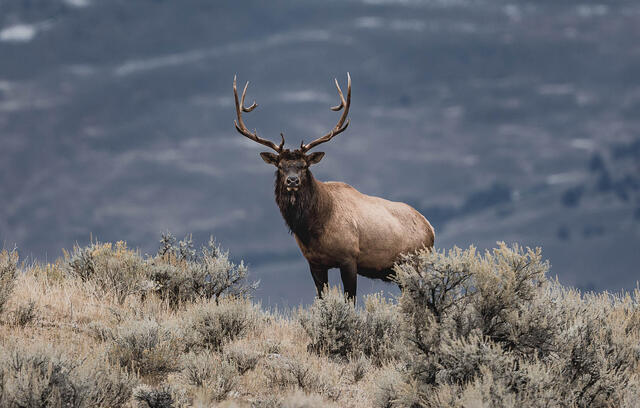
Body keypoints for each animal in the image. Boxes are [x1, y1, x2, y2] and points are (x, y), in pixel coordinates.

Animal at [233, 73, 434, 301]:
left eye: (304, 166)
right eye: (281, 166)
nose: (292, 181)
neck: (313, 227)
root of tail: (431, 229)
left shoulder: (349, 258)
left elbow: (350, 300)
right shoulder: (315, 263)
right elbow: (321, 298)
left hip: (414, 263)